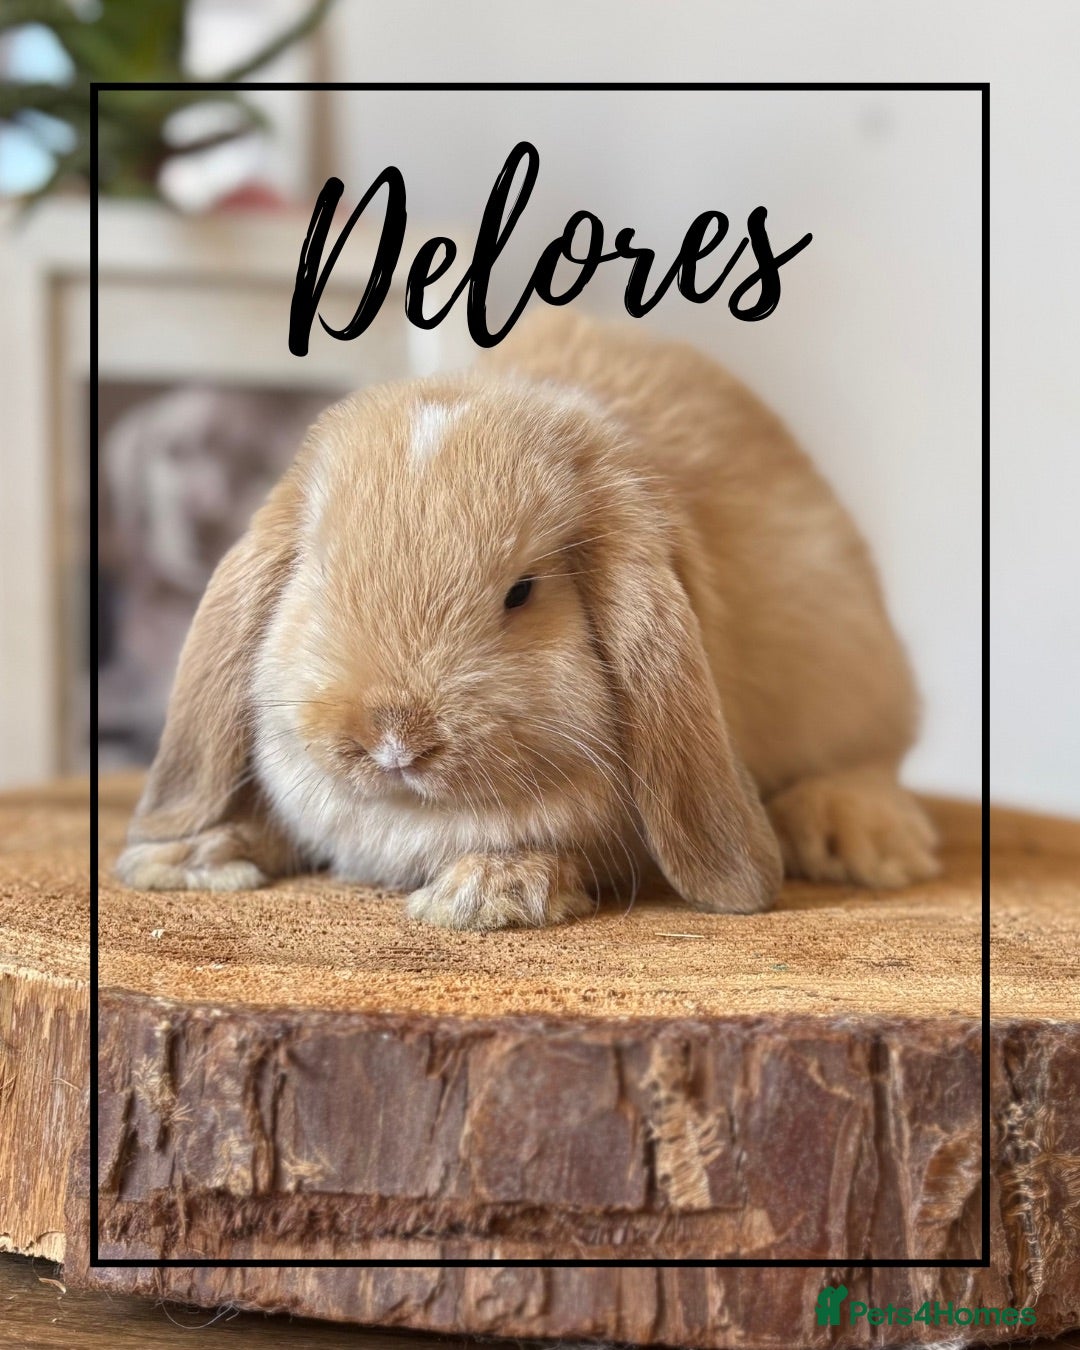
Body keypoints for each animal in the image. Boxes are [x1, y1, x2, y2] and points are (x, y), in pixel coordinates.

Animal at [114, 309, 939, 929]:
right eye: (316, 573)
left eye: (523, 592)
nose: (392, 738)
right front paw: (179, 856)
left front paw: (482, 893)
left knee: (865, 762)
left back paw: (862, 839)